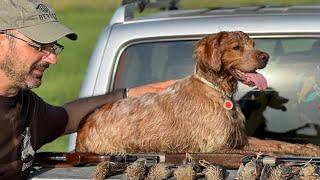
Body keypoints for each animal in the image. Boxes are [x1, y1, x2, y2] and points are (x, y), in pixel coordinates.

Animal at [75, 31, 320, 156]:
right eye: (236, 47)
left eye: (252, 44)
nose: (265, 57)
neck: (219, 91)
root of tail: (84, 126)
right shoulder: (215, 146)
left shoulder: (239, 139)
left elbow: (278, 144)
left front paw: (308, 148)